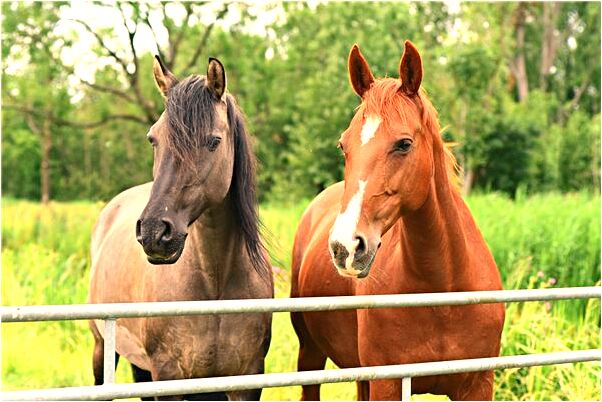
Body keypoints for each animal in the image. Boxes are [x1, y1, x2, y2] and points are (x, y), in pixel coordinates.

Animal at [88, 55, 272, 398]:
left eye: (213, 141)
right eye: (153, 139)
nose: (153, 233)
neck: (215, 283)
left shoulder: (247, 378)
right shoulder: (169, 375)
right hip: (102, 347)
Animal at [288, 41, 504, 402]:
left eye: (404, 143)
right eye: (343, 145)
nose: (345, 246)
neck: (442, 293)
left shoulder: (478, 385)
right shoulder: (387, 383)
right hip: (310, 356)